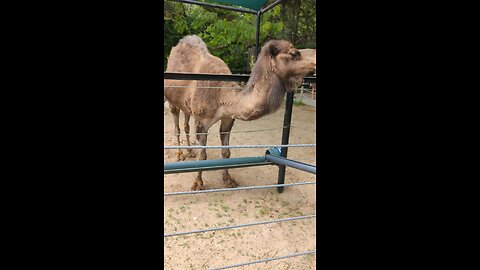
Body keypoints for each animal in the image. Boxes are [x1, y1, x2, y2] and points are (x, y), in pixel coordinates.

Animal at [163, 35, 316, 191]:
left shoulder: (227, 119)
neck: (223, 96)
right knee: (177, 128)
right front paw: (198, 183)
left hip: (186, 106)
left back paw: (190, 151)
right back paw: (180, 154)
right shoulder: (202, 122)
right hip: (172, 102)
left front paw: (228, 180)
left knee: (186, 124)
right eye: (294, 53)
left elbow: (226, 152)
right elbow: (203, 156)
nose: (315, 57)